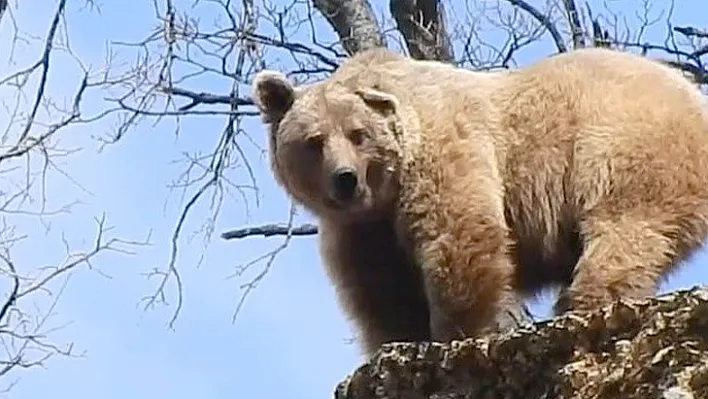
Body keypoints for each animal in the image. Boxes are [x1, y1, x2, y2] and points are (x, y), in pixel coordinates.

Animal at [252, 47, 708, 356]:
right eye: (314, 141)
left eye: (357, 134)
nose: (344, 179)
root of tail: (693, 95)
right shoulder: (362, 232)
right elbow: (383, 292)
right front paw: (399, 339)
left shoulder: (443, 153)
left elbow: (459, 236)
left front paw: (455, 334)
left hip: (625, 144)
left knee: (625, 228)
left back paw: (584, 302)